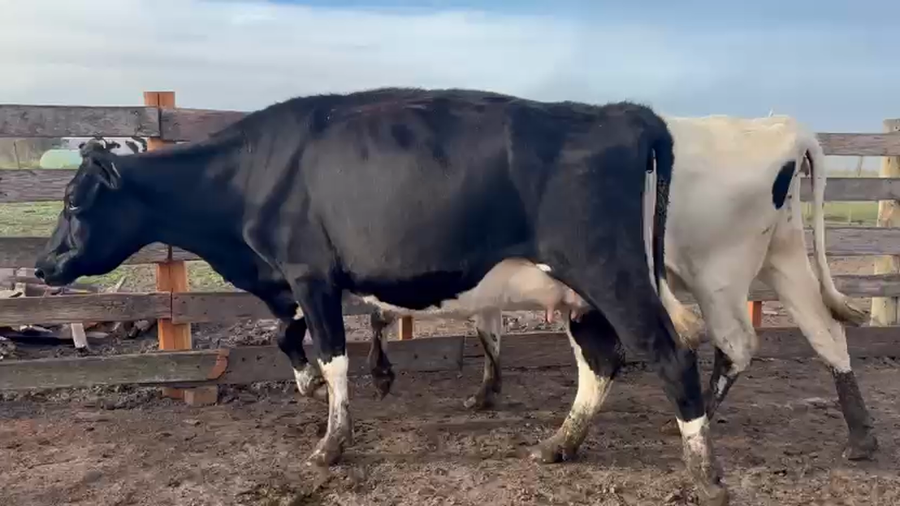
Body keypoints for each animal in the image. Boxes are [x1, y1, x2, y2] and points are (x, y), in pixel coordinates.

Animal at [33, 88, 729, 505]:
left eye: (74, 204)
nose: (43, 265)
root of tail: (622, 112)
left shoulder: (310, 273)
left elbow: (333, 354)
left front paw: (330, 443)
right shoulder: (297, 280)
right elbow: (291, 336)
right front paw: (309, 383)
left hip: (613, 275)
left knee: (670, 357)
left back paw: (705, 474)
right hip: (582, 295)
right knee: (601, 363)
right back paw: (560, 445)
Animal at [365, 112, 879, 463]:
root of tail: (779, 127)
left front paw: (376, 375)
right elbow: (486, 331)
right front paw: (485, 393)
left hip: (717, 274)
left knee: (735, 344)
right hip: (784, 259)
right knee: (825, 333)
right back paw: (860, 437)